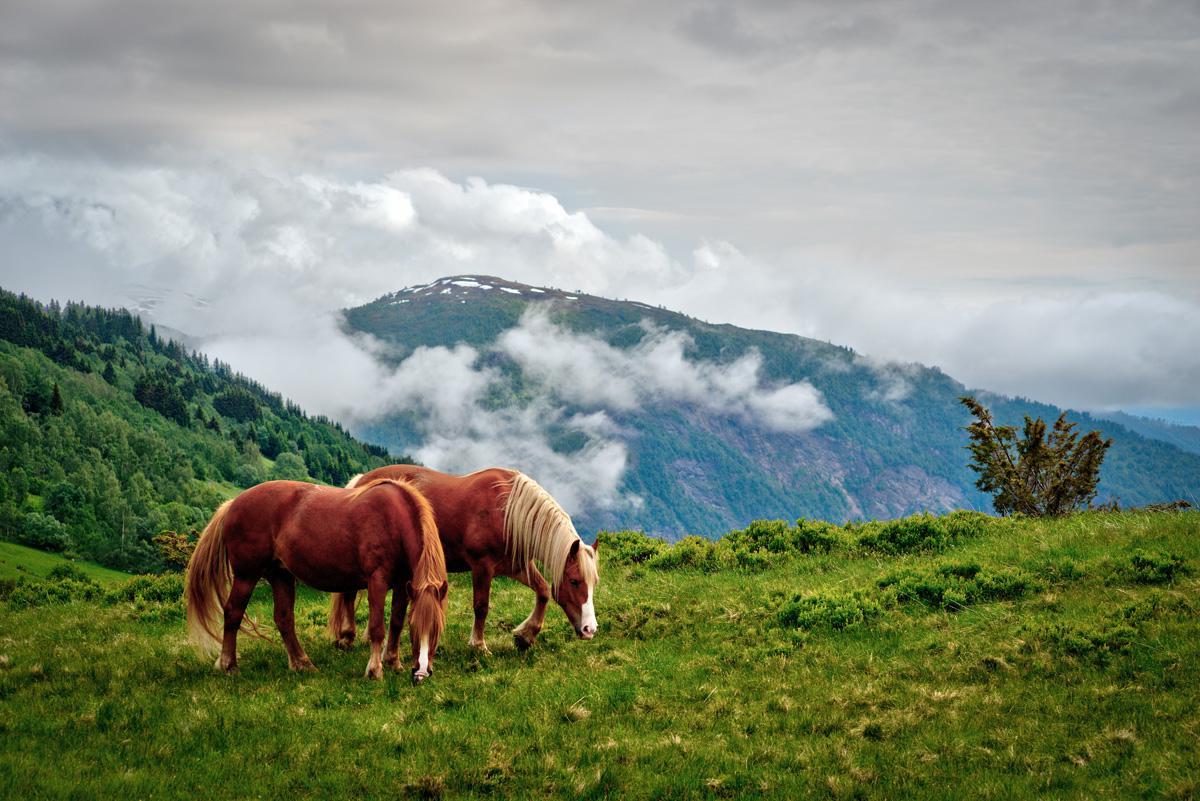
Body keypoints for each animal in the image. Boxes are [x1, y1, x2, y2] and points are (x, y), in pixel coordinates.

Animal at [185, 478, 448, 683]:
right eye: (416, 631)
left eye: (436, 630)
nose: (422, 673)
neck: (393, 518)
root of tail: (232, 505)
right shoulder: (377, 581)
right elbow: (377, 628)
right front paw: (375, 670)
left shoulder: (404, 585)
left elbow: (395, 623)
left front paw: (393, 662)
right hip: (246, 576)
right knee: (233, 613)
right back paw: (229, 665)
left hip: (280, 575)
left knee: (284, 619)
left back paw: (302, 663)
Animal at [329, 466, 599, 654]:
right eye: (574, 581)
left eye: (593, 583)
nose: (590, 629)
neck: (509, 511)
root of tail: (360, 481)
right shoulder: (482, 567)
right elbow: (481, 606)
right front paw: (479, 645)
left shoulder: (516, 566)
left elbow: (543, 591)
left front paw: (525, 636)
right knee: (349, 594)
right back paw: (347, 636)